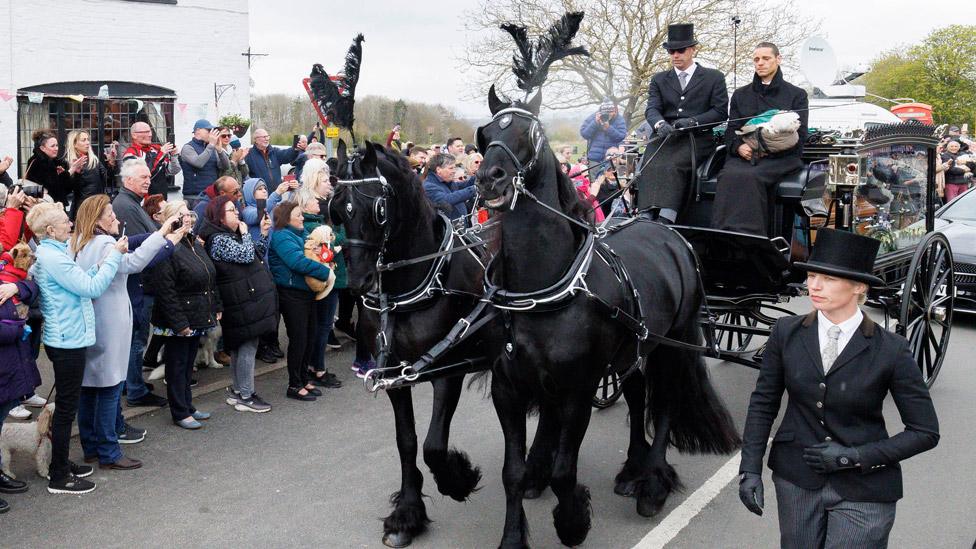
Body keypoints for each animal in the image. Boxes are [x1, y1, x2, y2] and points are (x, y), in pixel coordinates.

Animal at [332, 140, 488, 544]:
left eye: (378, 209)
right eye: (336, 209)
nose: (358, 280)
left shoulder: (447, 368)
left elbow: (433, 446)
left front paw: (459, 478)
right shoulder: (393, 374)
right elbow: (407, 441)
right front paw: (407, 512)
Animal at [474, 84, 740, 544]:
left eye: (530, 133)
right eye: (486, 133)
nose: (489, 177)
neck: (541, 289)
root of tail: (664, 228)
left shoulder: (577, 389)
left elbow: (565, 473)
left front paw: (572, 522)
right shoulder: (509, 388)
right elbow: (512, 473)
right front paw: (514, 534)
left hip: (674, 342)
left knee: (665, 403)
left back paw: (652, 484)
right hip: (635, 346)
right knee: (636, 394)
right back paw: (633, 469)